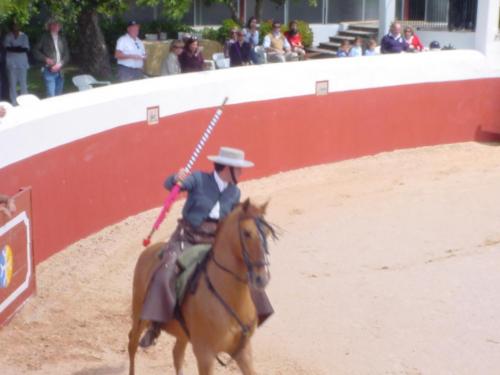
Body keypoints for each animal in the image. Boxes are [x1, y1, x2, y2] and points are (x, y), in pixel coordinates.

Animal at [129, 201, 276, 375]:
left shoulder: (243, 351)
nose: (262, 278)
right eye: (247, 233)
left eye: (267, 232)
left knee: (177, 353)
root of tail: (147, 252)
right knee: (132, 344)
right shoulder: (205, 354)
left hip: (182, 332)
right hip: (139, 314)